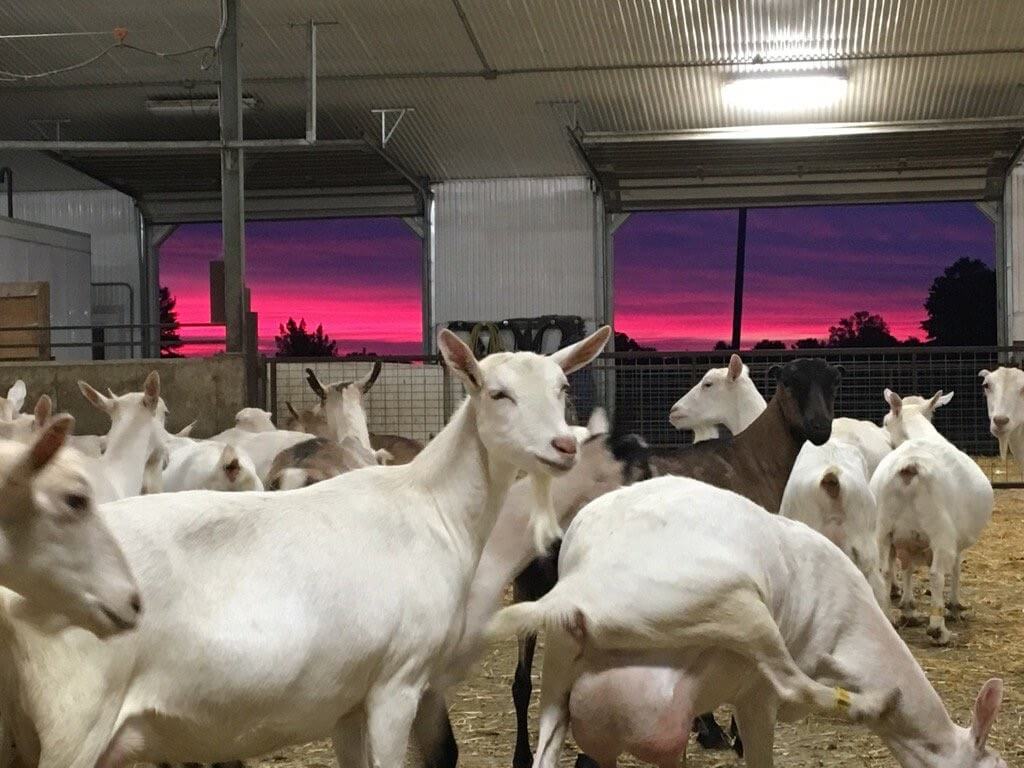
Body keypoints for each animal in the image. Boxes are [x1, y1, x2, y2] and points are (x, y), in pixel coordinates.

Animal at [0, 325, 610, 768]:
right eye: (497, 393)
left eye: (563, 389)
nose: (564, 445)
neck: (432, 507)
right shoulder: (397, 682)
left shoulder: (350, 702)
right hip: (76, 724)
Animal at [487, 479, 1007, 768]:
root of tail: (581, 585)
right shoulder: (758, 698)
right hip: (735, 606)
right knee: (791, 678)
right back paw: (873, 703)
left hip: (558, 669)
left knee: (545, 750)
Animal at [872, 387, 991, 647]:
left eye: (885, 422)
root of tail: (910, 465)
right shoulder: (956, 540)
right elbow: (955, 569)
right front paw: (955, 606)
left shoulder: (905, 540)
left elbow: (906, 569)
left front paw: (908, 609)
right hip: (941, 531)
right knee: (937, 574)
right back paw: (939, 630)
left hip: (882, 530)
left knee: (884, 571)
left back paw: (888, 619)